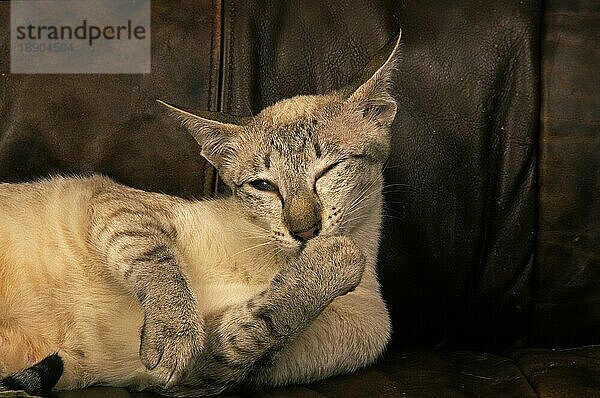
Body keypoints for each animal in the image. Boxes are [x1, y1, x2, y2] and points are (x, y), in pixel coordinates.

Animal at [1, 31, 404, 398]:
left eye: (328, 170)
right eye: (264, 186)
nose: (304, 232)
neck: (274, 262)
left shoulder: (204, 377)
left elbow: (262, 324)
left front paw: (333, 261)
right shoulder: (112, 200)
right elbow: (160, 264)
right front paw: (175, 331)